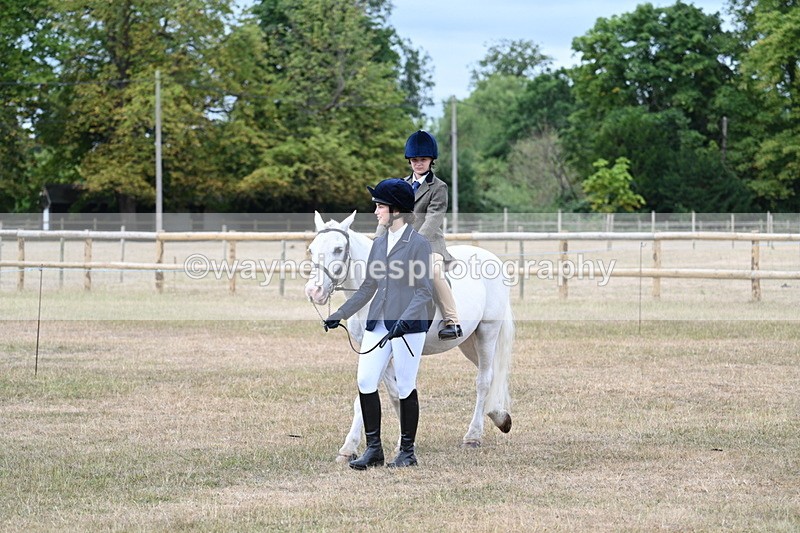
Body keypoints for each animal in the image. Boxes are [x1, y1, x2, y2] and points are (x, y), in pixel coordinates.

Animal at [304, 211, 514, 461]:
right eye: (312, 249)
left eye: (338, 249)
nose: (314, 291)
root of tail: (491, 258)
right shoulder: (374, 348)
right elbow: (394, 393)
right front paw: (400, 442)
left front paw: (349, 448)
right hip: (468, 342)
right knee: (492, 372)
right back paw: (499, 415)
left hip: (487, 332)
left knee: (484, 380)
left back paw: (473, 436)